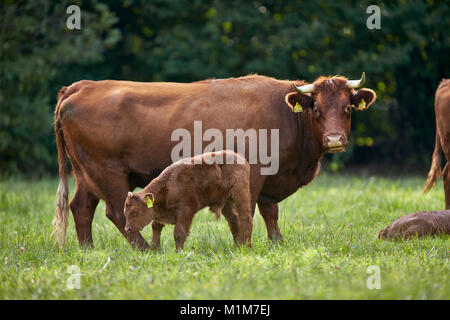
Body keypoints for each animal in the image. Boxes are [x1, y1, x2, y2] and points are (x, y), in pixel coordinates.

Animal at [123, 150, 253, 250]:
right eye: (125, 212)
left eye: (136, 211)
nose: (127, 229)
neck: (168, 185)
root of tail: (240, 157)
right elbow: (156, 227)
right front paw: (155, 249)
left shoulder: (186, 212)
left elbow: (178, 233)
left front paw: (178, 252)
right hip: (226, 202)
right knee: (234, 220)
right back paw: (237, 246)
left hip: (240, 194)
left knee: (245, 218)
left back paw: (246, 247)